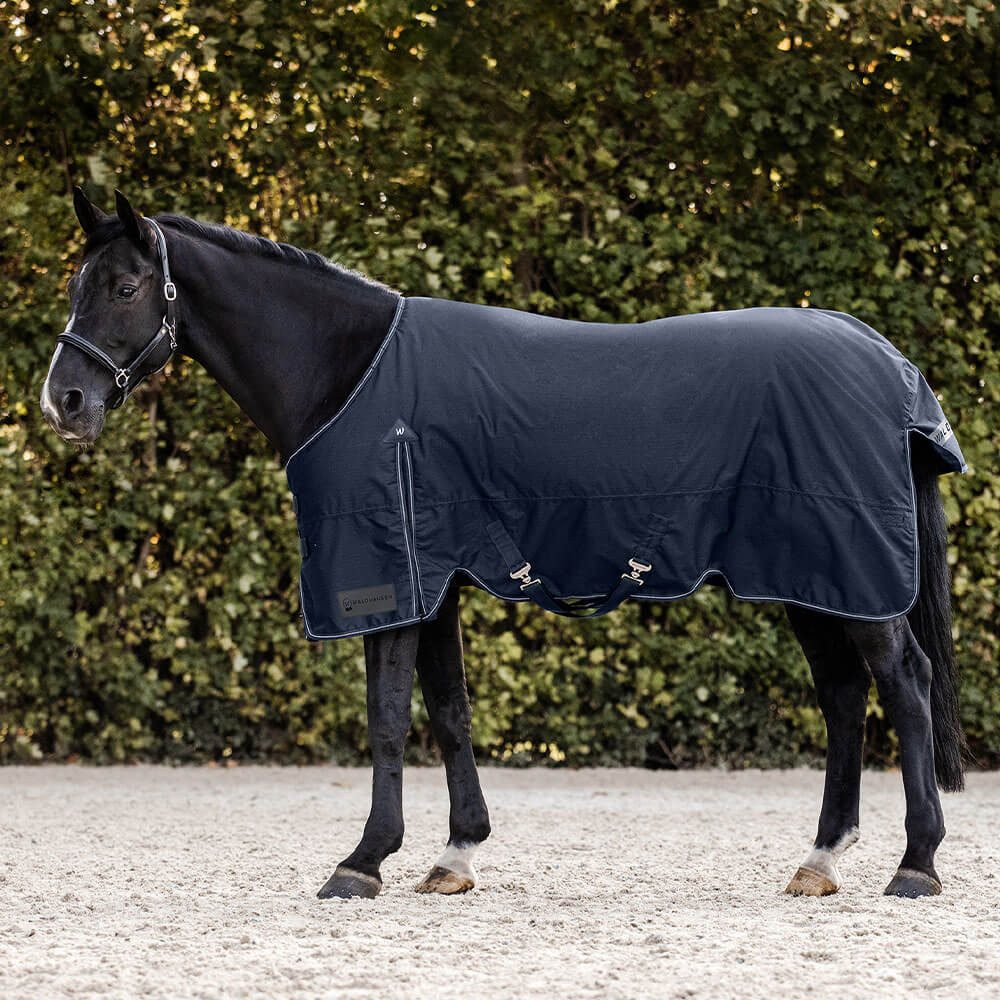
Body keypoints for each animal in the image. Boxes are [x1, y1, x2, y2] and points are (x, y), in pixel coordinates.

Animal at [40, 187, 967, 901]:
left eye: (126, 285)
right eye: (78, 281)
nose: (65, 402)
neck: (351, 373)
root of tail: (888, 364)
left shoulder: (390, 580)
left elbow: (387, 716)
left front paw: (363, 861)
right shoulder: (435, 580)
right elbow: (448, 710)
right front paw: (455, 854)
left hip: (850, 572)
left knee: (904, 683)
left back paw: (916, 863)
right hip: (809, 576)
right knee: (844, 694)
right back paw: (821, 859)